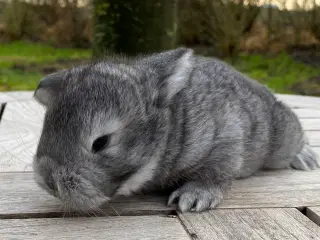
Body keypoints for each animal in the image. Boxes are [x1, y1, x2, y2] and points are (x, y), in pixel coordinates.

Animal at [33, 47, 320, 213]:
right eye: (45, 129)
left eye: (101, 142)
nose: (49, 181)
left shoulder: (225, 138)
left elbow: (216, 171)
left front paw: (194, 197)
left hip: (280, 140)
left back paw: (305, 157)